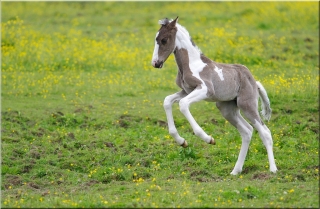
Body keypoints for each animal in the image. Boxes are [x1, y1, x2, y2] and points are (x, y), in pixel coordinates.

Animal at [151, 17, 276, 175]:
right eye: (156, 39)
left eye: (164, 40)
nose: (155, 63)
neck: (191, 64)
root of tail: (254, 81)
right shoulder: (186, 91)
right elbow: (167, 101)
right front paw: (182, 141)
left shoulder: (205, 90)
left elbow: (183, 104)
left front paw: (208, 139)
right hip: (227, 109)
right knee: (247, 131)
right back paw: (236, 171)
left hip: (247, 105)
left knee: (265, 132)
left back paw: (273, 169)